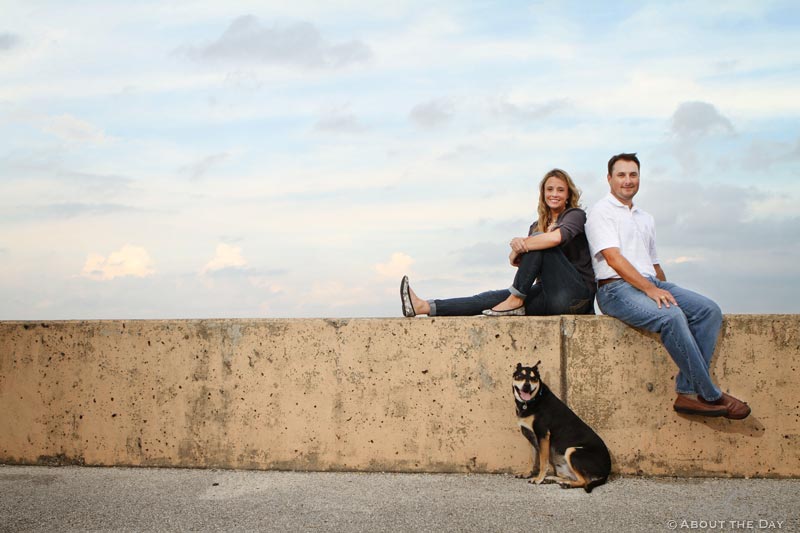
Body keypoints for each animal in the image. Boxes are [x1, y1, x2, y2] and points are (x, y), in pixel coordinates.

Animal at [512, 360, 612, 492]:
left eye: (533, 378)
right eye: (520, 376)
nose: (527, 386)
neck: (533, 400)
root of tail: (606, 473)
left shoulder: (543, 435)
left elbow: (543, 461)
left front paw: (538, 479)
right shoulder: (531, 436)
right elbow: (532, 458)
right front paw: (527, 473)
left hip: (572, 451)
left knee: (584, 481)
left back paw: (565, 484)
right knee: (571, 476)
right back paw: (553, 479)